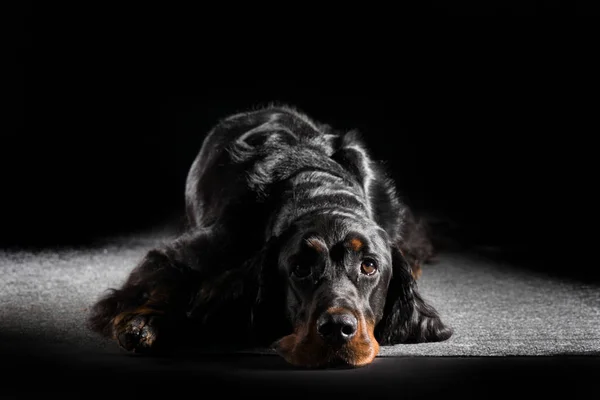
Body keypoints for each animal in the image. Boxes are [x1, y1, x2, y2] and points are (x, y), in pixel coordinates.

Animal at [89, 104, 452, 368]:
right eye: (300, 268)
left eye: (369, 266)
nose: (337, 330)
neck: (318, 188)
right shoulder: (197, 249)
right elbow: (162, 280)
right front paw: (143, 323)